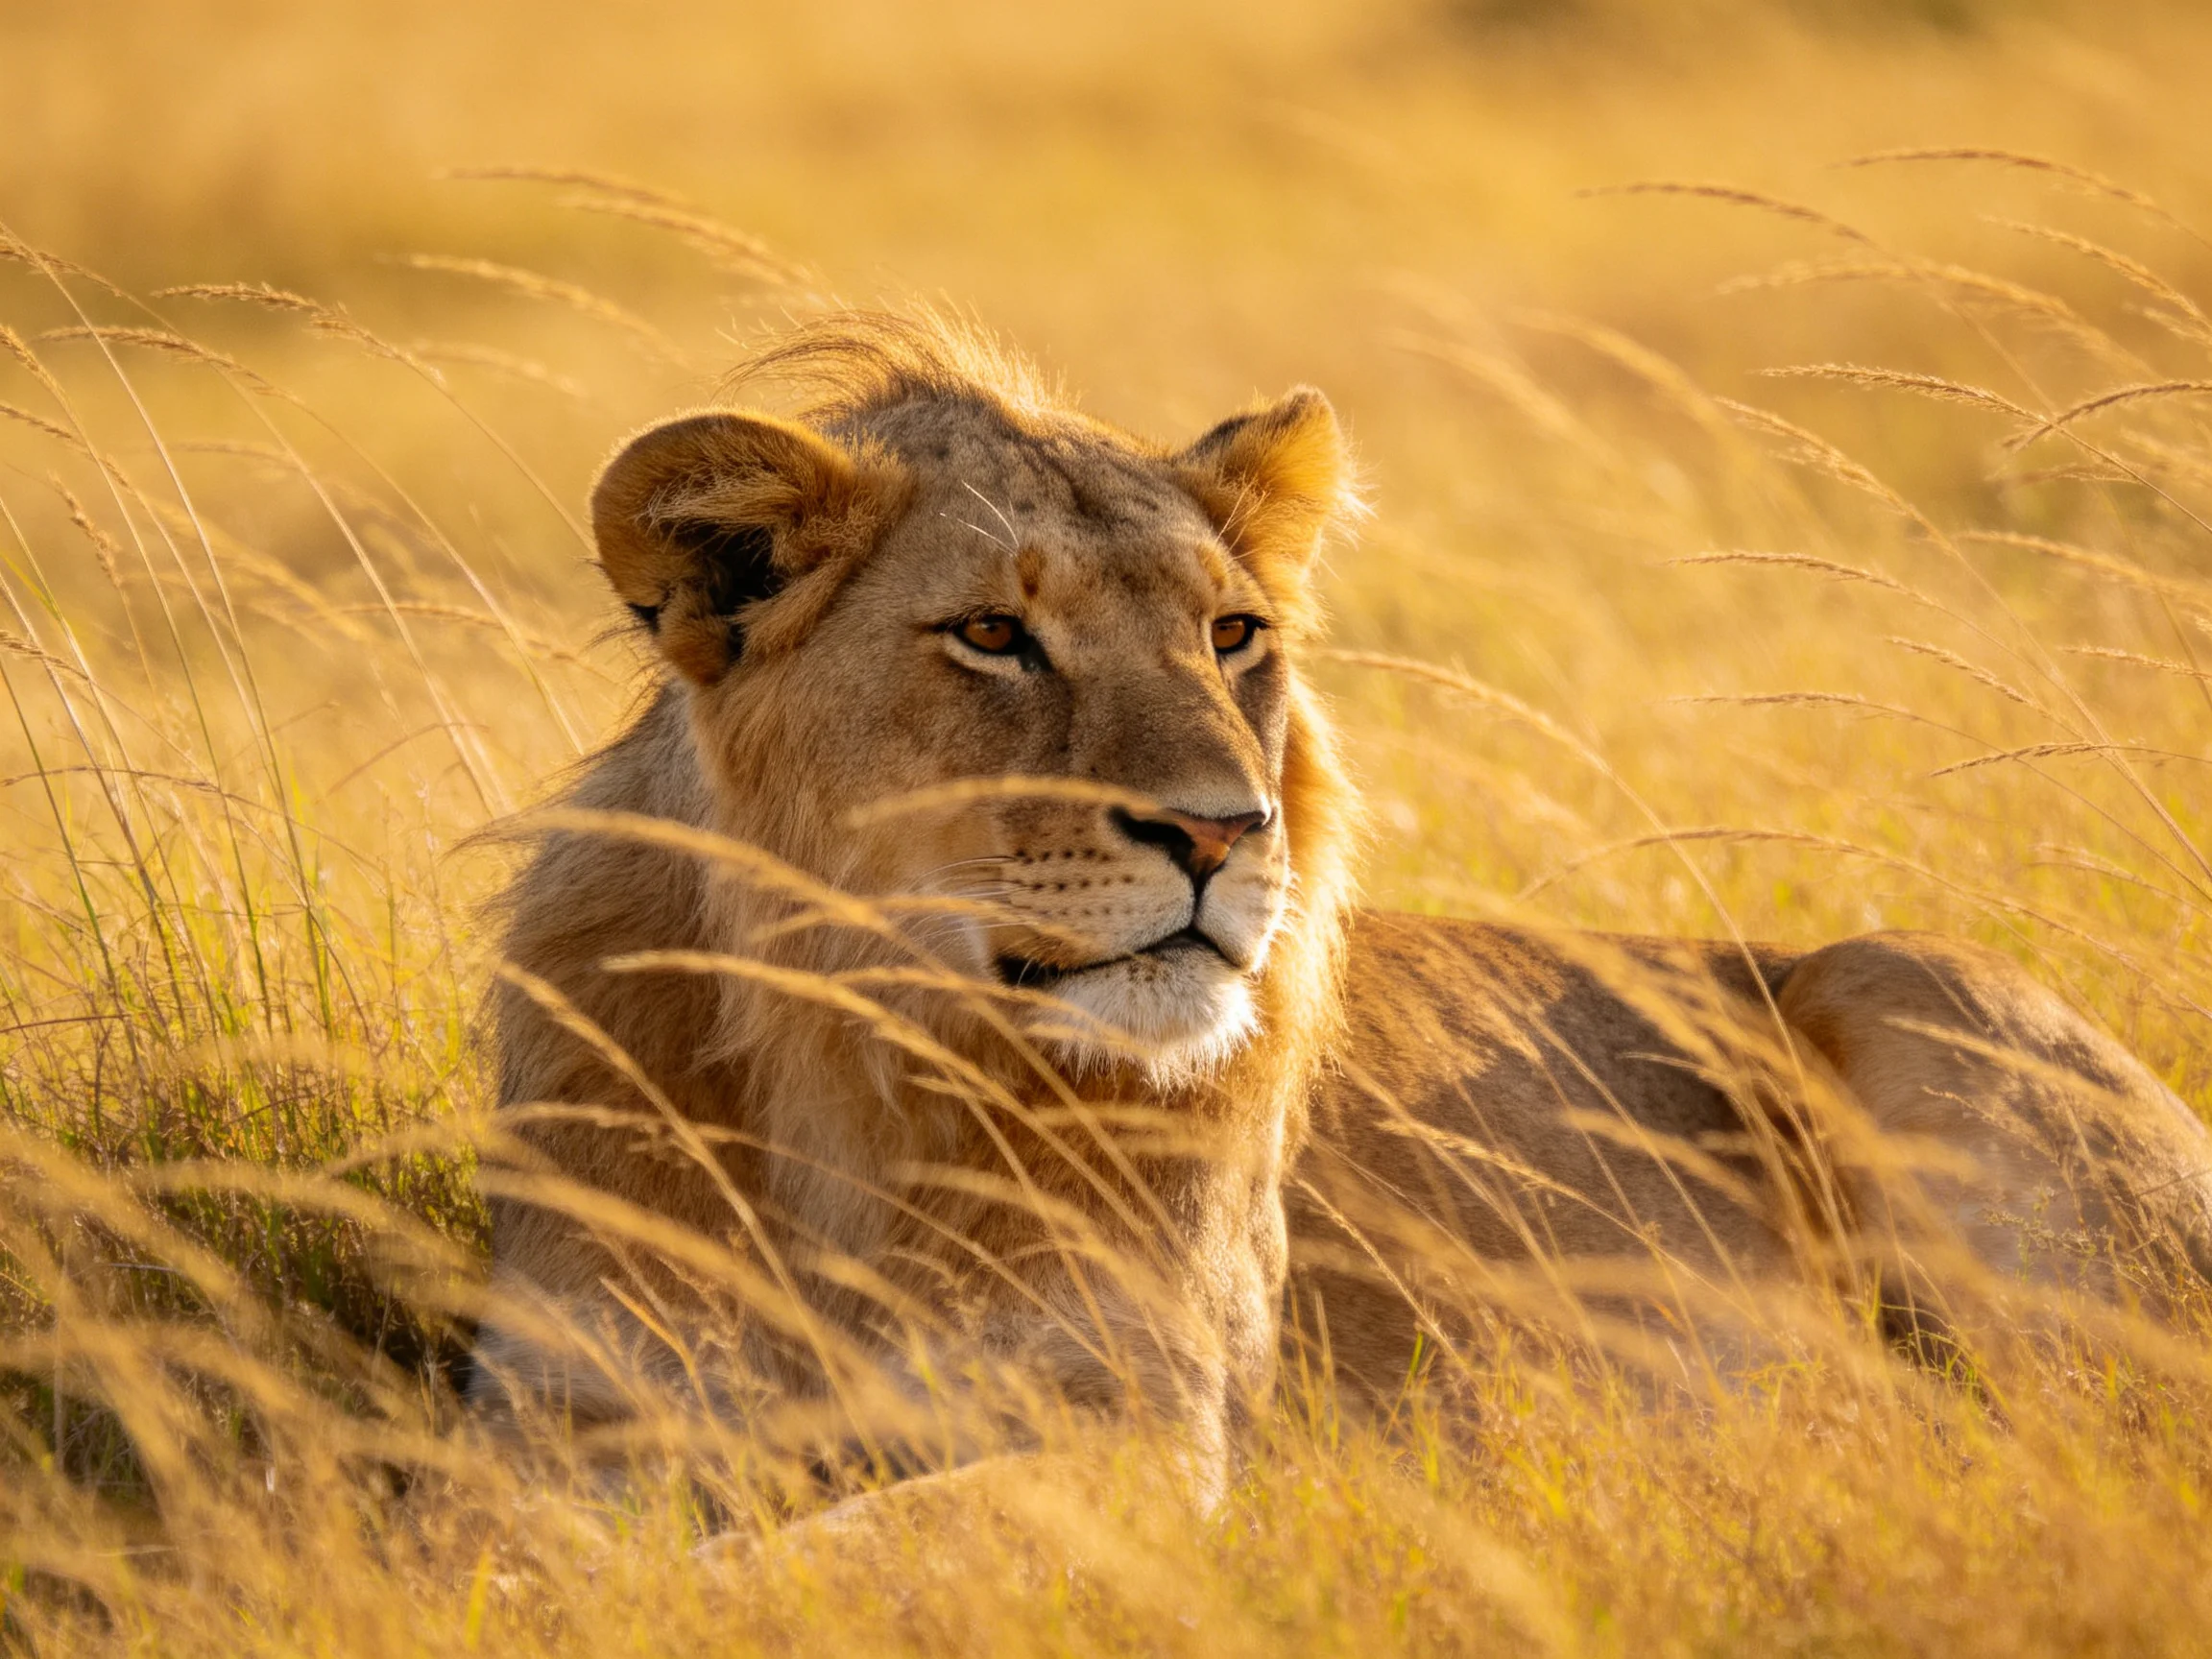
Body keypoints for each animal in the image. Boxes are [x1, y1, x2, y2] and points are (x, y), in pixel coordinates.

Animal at [471, 311, 2212, 1489]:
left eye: (1231, 634)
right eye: (991, 637)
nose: (1221, 830)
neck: (857, 1088)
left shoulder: (1122, 1441)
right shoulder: (562, 1418)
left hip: (1915, 995)